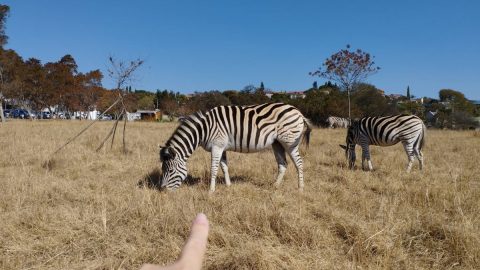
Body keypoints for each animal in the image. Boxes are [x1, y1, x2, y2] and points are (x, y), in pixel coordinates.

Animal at [159, 102, 314, 192]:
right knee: (283, 164)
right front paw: (228, 185)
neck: (204, 129)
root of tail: (298, 112)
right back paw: (275, 186)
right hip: (277, 143)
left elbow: (214, 168)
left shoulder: (217, 146)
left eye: (170, 170)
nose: (162, 190)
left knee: (299, 163)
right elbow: (224, 167)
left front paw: (211, 191)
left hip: (289, 141)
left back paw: (300, 188)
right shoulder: (222, 147)